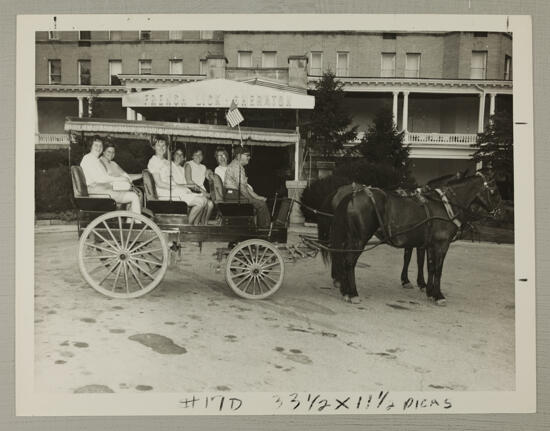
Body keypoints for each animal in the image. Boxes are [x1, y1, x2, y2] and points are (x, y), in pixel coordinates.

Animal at [328, 170, 504, 306]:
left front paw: (430, 291)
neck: (444, 205)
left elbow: (430, 267)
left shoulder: (430, 245)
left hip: (350, 237)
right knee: (349, 262)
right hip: (359, 238)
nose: (501, 213)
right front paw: (438, 295)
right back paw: (352, 293)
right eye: (494, 190)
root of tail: (352, 195)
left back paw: (344, 289)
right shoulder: (441, 244)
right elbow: (437, 269)